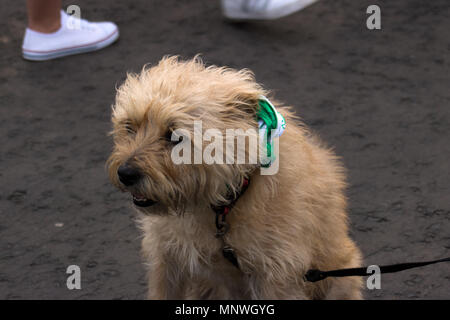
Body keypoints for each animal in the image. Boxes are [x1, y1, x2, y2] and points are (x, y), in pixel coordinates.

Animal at [107, 56, 364, 298]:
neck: (221, 205)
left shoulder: (276, 277)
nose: (125, 173)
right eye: (130, 126)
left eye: (175, 137)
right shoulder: (166, 260)